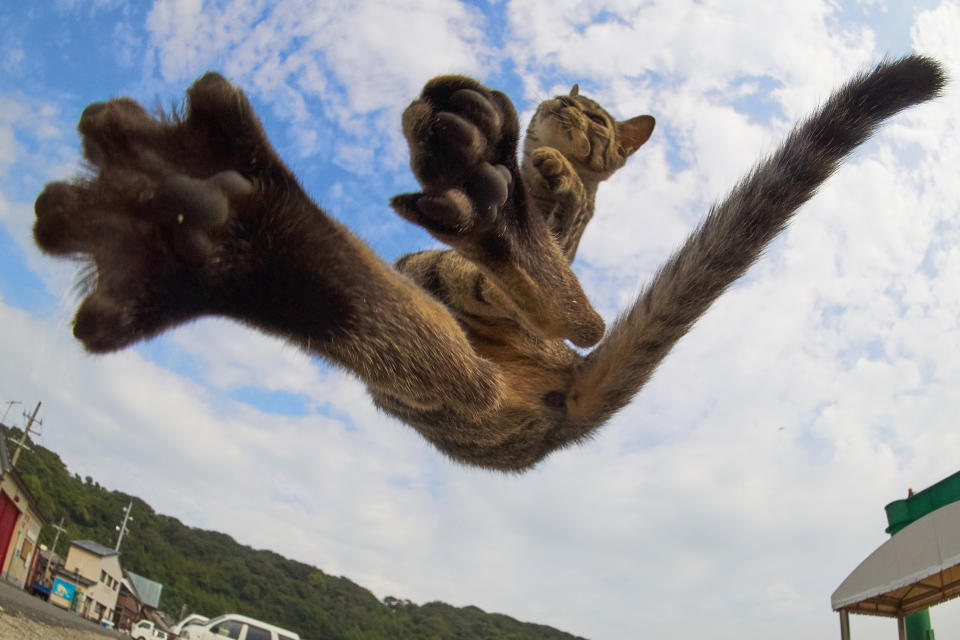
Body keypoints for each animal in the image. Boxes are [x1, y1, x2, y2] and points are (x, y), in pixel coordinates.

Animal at [35, 55, 944, 470]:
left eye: (599, 117)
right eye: (574, 102)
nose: (569, 113)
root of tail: (560, 410)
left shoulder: (532, 256)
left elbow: (555, 252)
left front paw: (542, 192)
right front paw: (528, 180)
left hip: (468, 396)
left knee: (571, 322)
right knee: (531, 321)